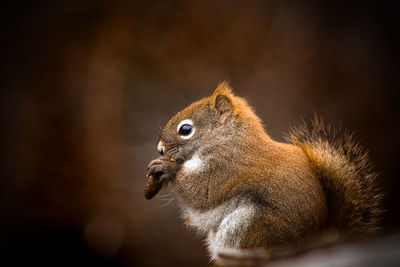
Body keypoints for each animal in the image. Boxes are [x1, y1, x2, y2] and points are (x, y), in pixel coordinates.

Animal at [145, 82, 382, 262]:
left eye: (186, 130)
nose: (160, 149)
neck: (227, 140)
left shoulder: (228, 167)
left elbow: (202, 191)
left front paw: (167, 167)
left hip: (250, 225)